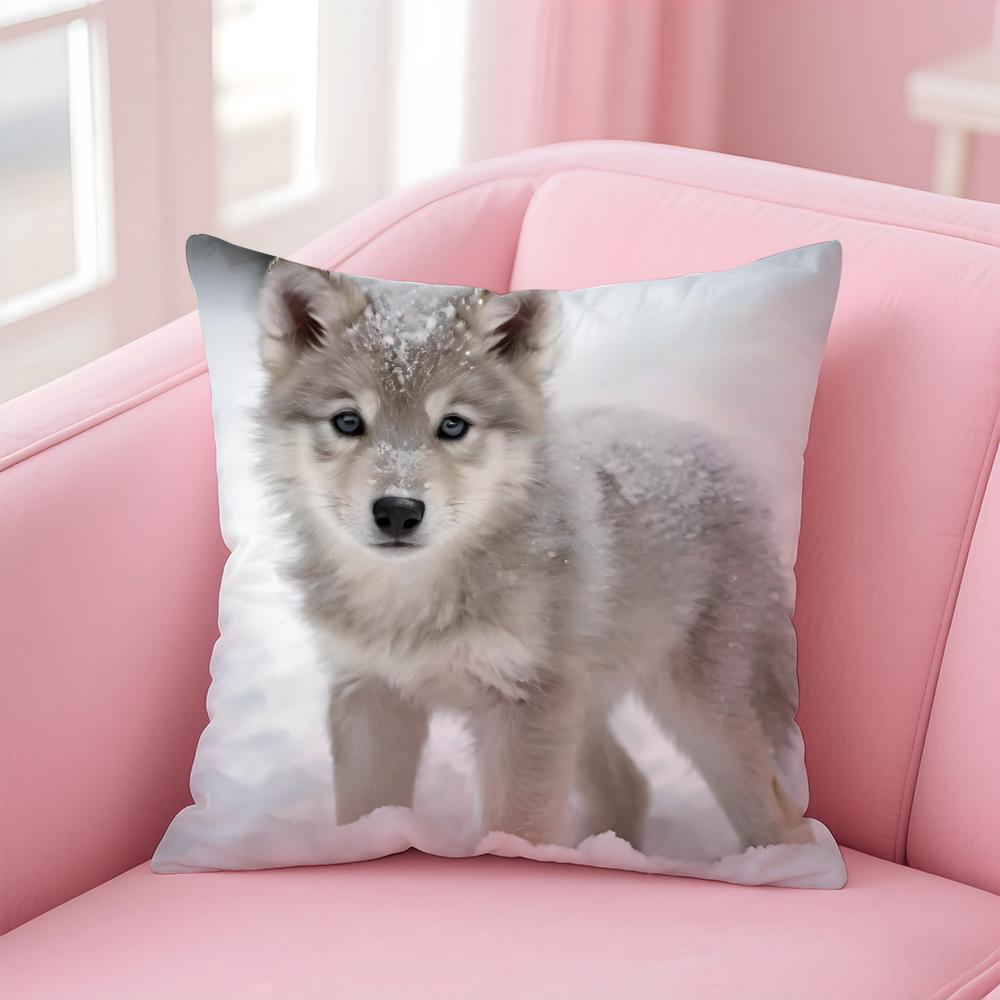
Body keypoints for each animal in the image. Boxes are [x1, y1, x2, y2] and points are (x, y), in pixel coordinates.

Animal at [255, 260, 812, 854]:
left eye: (452, 424)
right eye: (348, 421)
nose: (398, 512)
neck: (414, 606)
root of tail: (712, 444)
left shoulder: (525, 708)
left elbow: (515, 833)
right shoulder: (373, 695)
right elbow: (367, 819)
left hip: (697, 715)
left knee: (783, 821)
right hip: (587, 709)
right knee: (630, 786)